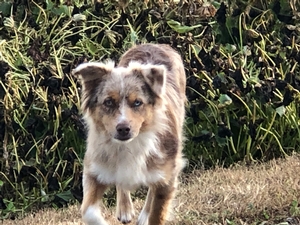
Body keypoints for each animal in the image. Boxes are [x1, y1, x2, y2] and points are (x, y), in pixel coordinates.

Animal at [72, 44, 185, 225]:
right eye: (108, 102)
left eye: (137, 102)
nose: (123, 128)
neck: (128, 146)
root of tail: (155, 44)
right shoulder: (94, 169)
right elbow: (87, 212)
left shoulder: (167, 177)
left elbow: (157, 213)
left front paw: (148, 216)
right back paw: (125, 210)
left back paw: (143, 215)